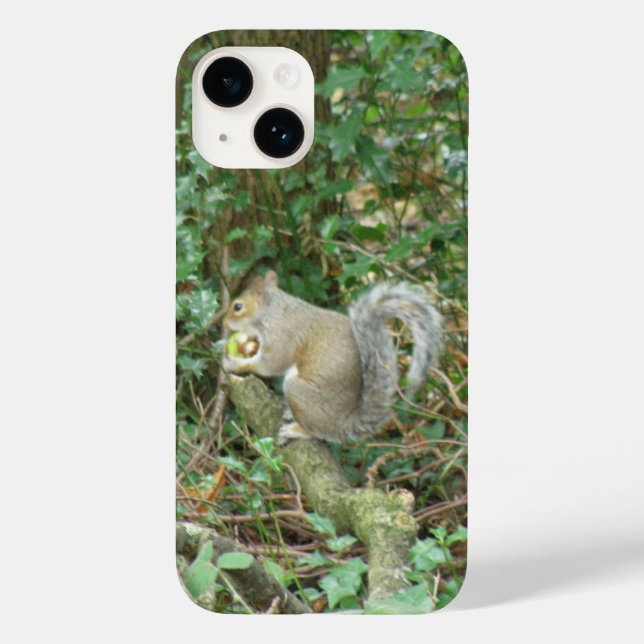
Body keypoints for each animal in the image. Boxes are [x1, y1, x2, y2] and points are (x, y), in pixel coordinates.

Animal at [223, 270, 442, 445]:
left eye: (238, 307)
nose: (224, 322)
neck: (273, 311)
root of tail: (344, 423)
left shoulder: (282, 336)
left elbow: (270, 364)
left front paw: (235, 363)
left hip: (298, 393)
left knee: (317, 432)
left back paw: (297, 431)